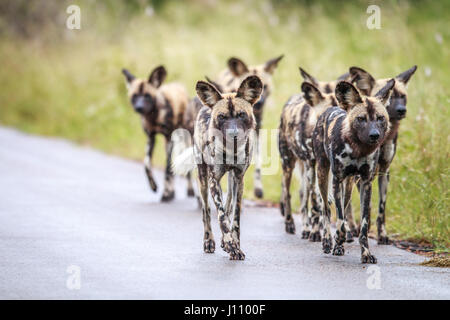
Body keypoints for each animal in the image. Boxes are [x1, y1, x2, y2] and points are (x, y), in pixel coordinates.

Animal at [122, 65, 194, 201]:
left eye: (147, 96)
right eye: (135, 96)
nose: (139, 108)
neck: (153, 116)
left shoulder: (169, 138)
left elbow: (167, 169)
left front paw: (165, 194)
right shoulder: (151, 138)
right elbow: (146, 164)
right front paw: (153, 186)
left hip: (184, 139)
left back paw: (189, 190)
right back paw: (172, 191)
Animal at [172, 75, 264, 260]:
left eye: (241, 115)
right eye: (222, 117)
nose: (233, 134)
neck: (231, 151)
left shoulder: (239, 178)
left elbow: (234, 217)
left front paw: (235, 244)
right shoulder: (213, 180)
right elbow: (221, 217)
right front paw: (231, 245)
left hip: (230, 179)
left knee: (228, 202)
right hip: (203, 179)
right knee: (206, 211)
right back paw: (209, 241)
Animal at [278, 81, 338, 241]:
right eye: (327, 113)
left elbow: (324, 201)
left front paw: (321, 230)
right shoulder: (311, 163)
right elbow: (315, 202)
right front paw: (316, 232)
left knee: (303, 197)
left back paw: (306, 227)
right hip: (289, 165)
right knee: (287, 193)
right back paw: (290, 223)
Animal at [312, 79, 394, 262]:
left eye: (380, 118)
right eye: (361, 119)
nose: (375, 135)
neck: (359, 149)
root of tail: (330, 109)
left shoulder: (366, 183)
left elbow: (363, 225)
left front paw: (366, 253)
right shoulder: (337, 180)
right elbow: (340, 222)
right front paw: (338, 239)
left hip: (348, 185)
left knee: (343, 205)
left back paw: (338, 245)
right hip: (322, 174)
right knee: (326, 210)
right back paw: (327, 241)